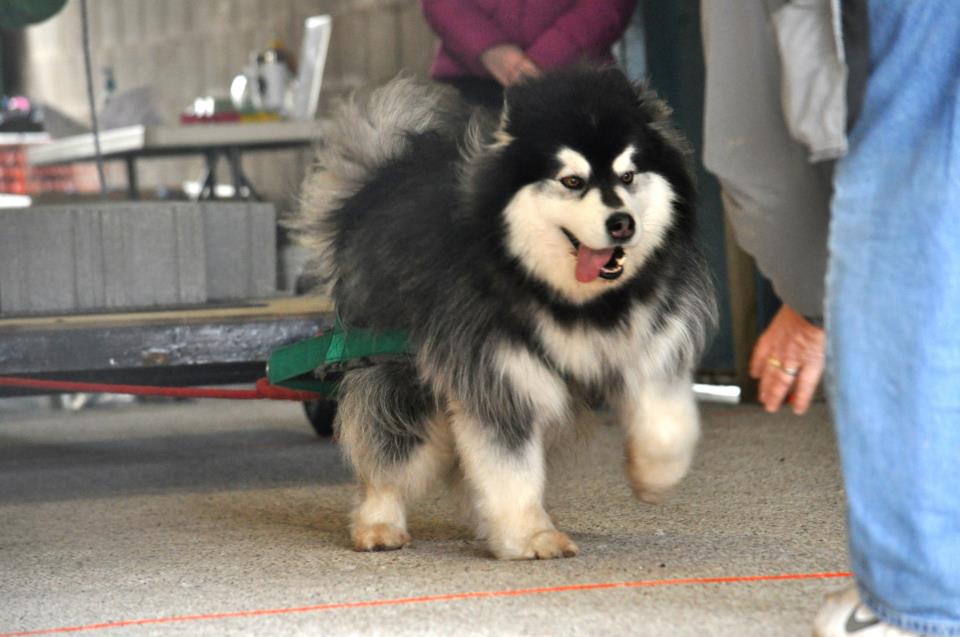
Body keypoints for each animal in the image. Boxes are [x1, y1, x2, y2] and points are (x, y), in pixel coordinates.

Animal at [296, 67, 716, 560]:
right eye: (571, 181)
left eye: (628, 175)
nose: (622, 224)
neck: (572, 299)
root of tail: (384, 174)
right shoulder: (497, 371)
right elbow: (509, 465)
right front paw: (531, 535)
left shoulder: (650, 342)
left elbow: (667, 422)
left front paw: (653, 475)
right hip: (399, 370)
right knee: (391, 450)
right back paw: (379, 522)